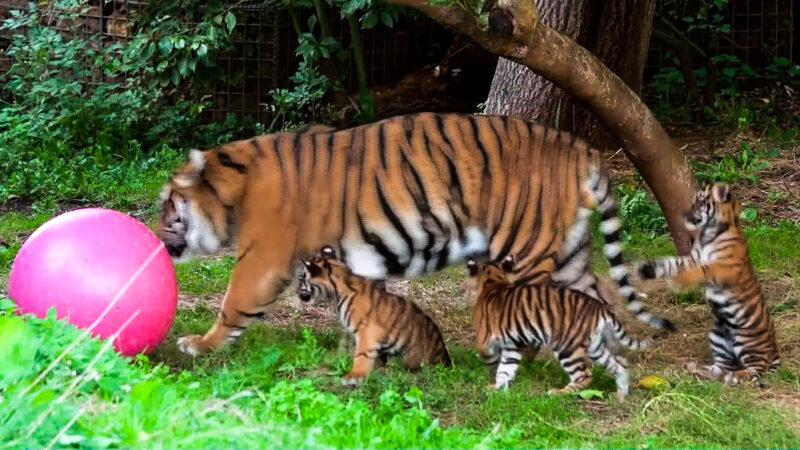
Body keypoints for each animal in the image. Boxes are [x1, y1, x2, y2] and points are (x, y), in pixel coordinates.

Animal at [161, 112, 668, 356]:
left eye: (168, 204)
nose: (156, 231)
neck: (234, 188)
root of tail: (580, 147)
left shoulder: (263, 258)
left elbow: (234, 302)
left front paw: (201, 345)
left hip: (526, 250)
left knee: (543, 305)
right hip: (568, 254)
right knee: (592, 300)